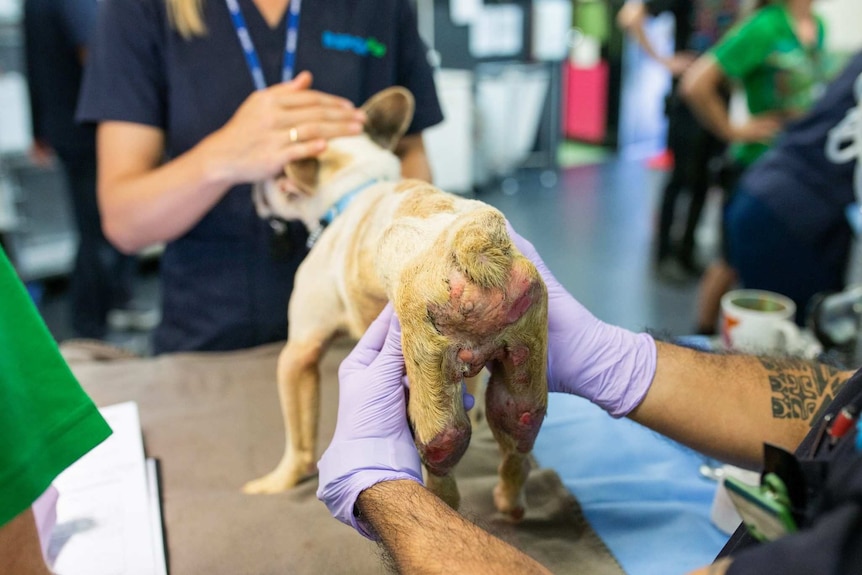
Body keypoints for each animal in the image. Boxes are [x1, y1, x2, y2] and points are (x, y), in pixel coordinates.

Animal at [246, 86, 552, 520]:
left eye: (277, 174)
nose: (255, 187)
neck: (358, 185)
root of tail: (471, 240)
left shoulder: (299, 352)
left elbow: (298, 442)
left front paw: (277, 482)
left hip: (428, 389)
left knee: (444, 446)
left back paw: (444, 501)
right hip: (521, 380)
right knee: (519, 439)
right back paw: (509, 501)